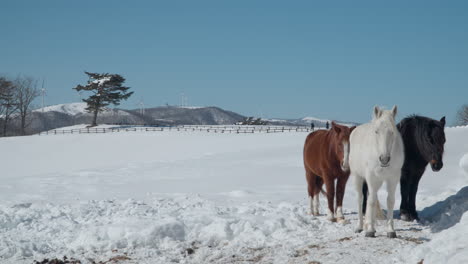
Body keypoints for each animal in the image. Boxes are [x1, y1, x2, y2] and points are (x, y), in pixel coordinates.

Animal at [350, 106, 404, 238]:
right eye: (376, 132)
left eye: (392, 132)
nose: (384, 159)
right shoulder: (372, 177)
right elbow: (371, 201)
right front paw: (369, 230)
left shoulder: (393, 178)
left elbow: (390, 201)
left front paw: (390, 230)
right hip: (357, 177)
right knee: (361, 199)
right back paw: (360, 226)